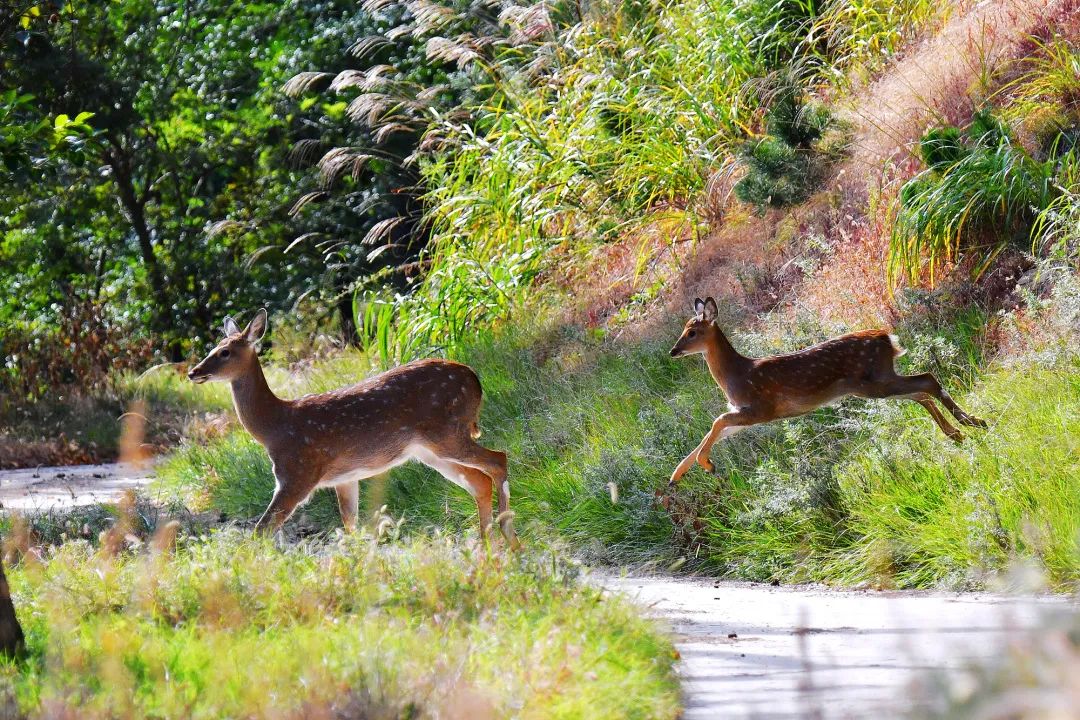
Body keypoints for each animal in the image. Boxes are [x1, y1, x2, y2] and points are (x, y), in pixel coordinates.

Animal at [187, 306, 520, 548]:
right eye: (214, 348)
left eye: (224, 352)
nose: (193, 372)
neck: (274, 427)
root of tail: (475, 380)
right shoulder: (344, 478)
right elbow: (350, 526)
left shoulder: (296, 474)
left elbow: (261, 529)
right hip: (431, 450)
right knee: (480, 480)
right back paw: (489, 545)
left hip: (448, 432)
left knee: (498, 459)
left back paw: (508, 538)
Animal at [660, 297, 984, 490]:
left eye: (692, 332)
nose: (673, 351)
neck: (737, 375)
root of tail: (887, 337)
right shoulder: (746, 413)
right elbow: (713, 431)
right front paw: (677, 476)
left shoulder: (761, 408)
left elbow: (716, 422)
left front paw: (705, 464)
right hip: (878, 380)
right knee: (921, 391)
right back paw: (957, 431)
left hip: (871, 383)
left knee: (927, 381)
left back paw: (970, 423)